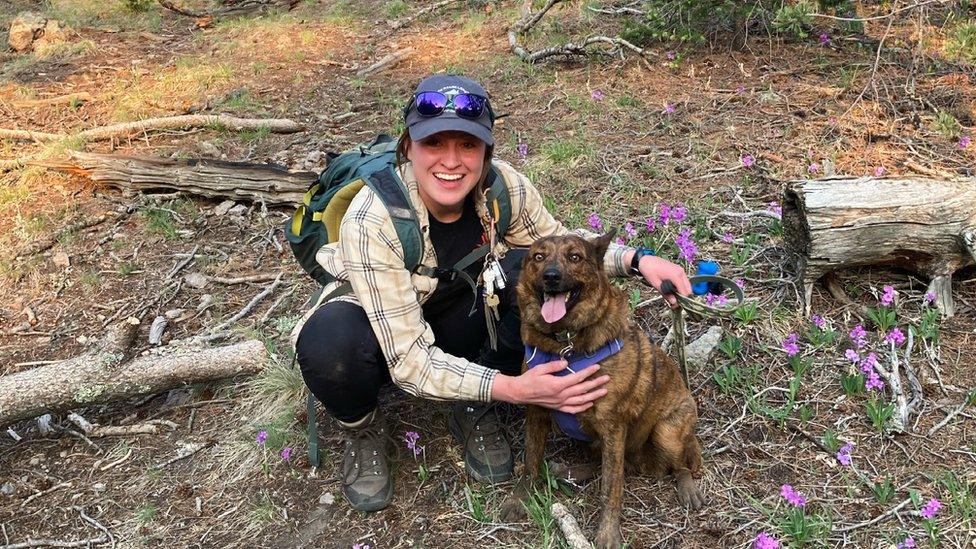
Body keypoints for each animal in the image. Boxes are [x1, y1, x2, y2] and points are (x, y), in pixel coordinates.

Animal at [504, 231, 700, 548]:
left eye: (575, 257)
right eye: (538, 256)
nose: (551, 276)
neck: (566, 344)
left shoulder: (613, 426)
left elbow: (611, 488)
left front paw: (608, 533)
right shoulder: (537, 410)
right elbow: (531, 459)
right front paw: (519, 497)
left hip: (667, 432)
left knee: (677, 463)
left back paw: (687, 486)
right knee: (602, 462)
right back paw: (570, 470)